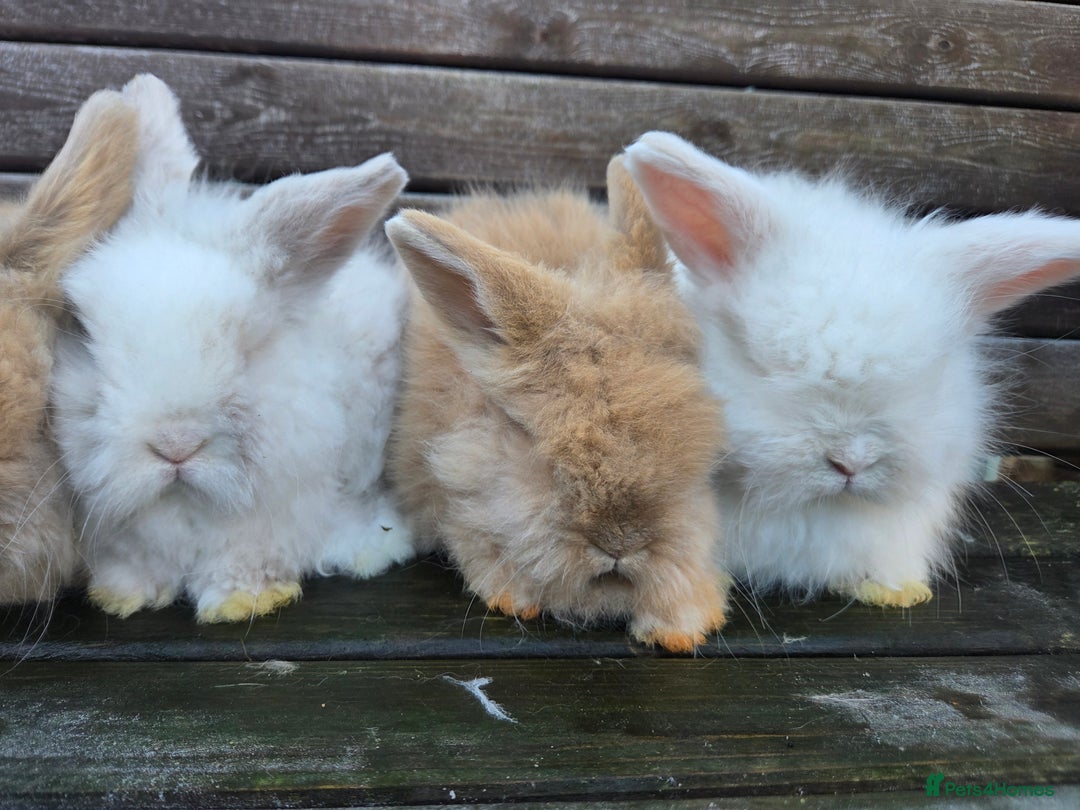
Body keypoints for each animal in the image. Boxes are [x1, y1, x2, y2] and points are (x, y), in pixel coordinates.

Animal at [51, 74, 415, 623]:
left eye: (249, 345)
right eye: (87, 335)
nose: (175, 444)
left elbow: (247, 558)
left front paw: (242, 601)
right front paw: (122, 595)